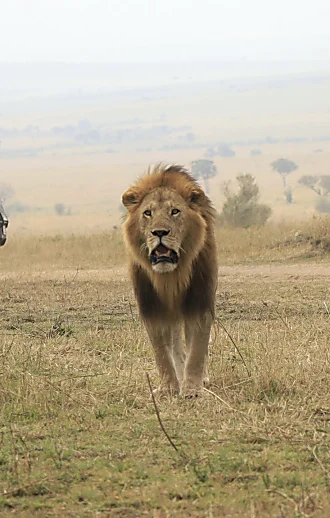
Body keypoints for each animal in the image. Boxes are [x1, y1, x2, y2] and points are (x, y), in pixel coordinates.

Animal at [122, 166, 218, 398]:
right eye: (148, 213)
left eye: (175, 211)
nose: (159, 232)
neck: (170, 277)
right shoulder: (152, 305)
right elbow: (162, 352)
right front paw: (168, 388)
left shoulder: (199, 300)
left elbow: (197, 348)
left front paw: (192, 388)